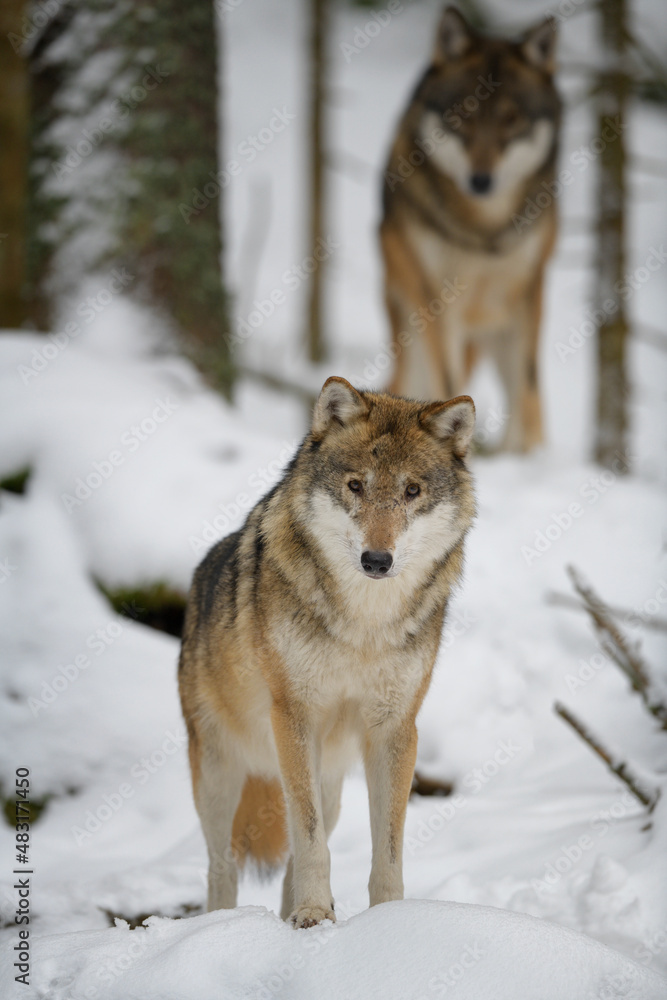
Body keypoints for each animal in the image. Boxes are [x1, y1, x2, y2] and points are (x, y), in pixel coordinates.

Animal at [179, 377, 476, 928]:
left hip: (332, 783)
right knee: (222, 865)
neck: (364, 625)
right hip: (219, 775)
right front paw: (315, 914)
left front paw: (390, 920)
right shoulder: (294, 716)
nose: (377, 560)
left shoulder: (395, 729)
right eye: (356, 486)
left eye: (412, 491)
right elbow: (309, 839)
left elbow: (388, 847)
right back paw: (223, 922)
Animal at [381, 6, 561, 451]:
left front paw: (529, 456)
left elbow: (528, 386)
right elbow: (446, 380)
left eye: (511, 119)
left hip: (495, 326)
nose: (481, 181)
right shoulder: (435, 298)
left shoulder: (529, 288)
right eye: (461, 114)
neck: (484, 230)